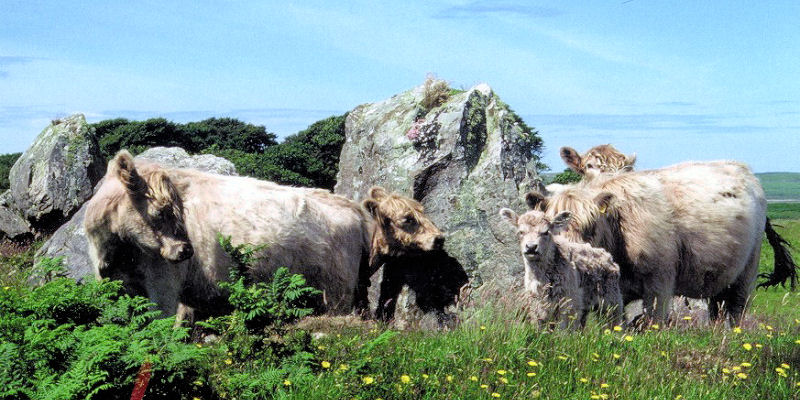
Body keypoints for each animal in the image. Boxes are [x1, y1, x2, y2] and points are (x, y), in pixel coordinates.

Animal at [528, 160, 783, 325]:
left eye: (591, 227)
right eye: (551, 228)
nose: (572, 252)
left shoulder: (659, 284)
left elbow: (653, 322)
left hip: (745, 276)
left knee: (736, 312)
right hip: (720, 281)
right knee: (717, 313)